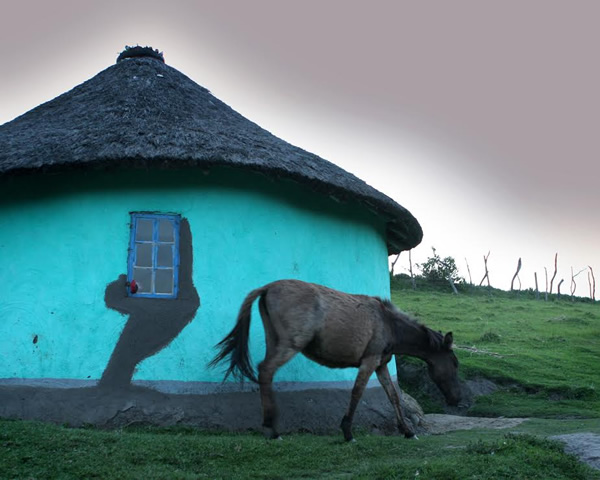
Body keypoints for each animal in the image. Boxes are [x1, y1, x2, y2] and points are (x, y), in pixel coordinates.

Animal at [209, 280, 462, 440]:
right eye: (455, 363)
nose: (457, 399)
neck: (389, 324)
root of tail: (267, 287)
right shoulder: (369, 361)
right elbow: (357, 393)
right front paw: (347, 431)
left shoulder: (380, 365)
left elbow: (393, 396)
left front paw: (407, 431)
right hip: (290, 345)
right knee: (265, 370)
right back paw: (272, 428)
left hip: (274, 340)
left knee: (265, 374)